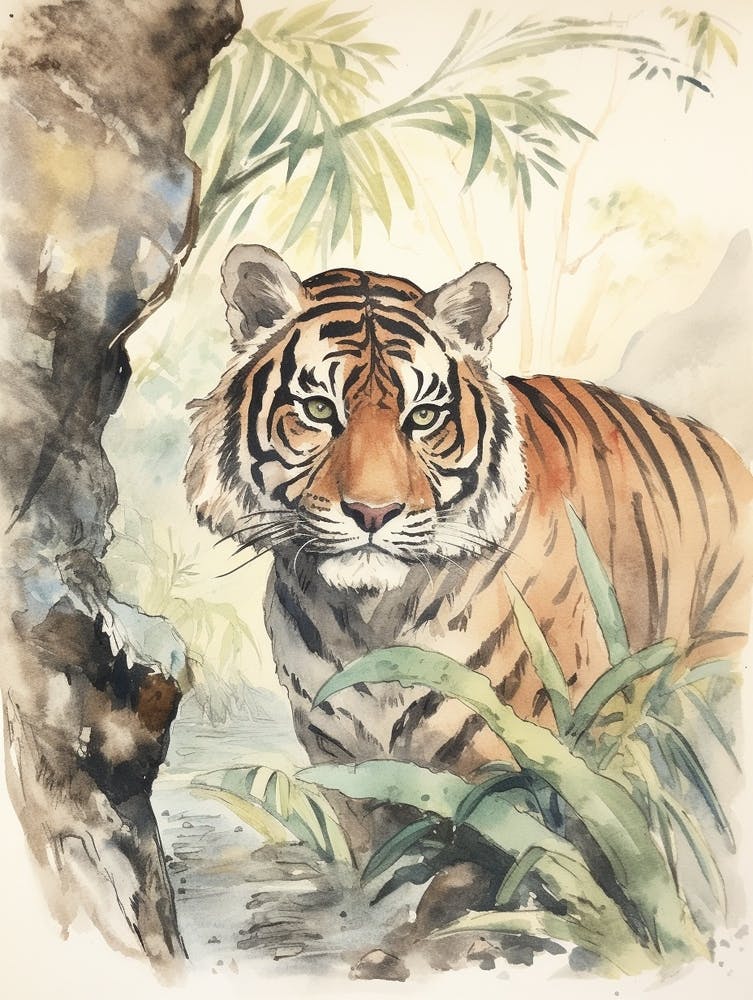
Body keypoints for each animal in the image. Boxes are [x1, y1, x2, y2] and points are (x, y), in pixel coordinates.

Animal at [185, 243, 752, 829]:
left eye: (423, 417)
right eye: (319, 409)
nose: (373, 512)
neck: (367, 624)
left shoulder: (521, 770)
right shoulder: (347, 771)